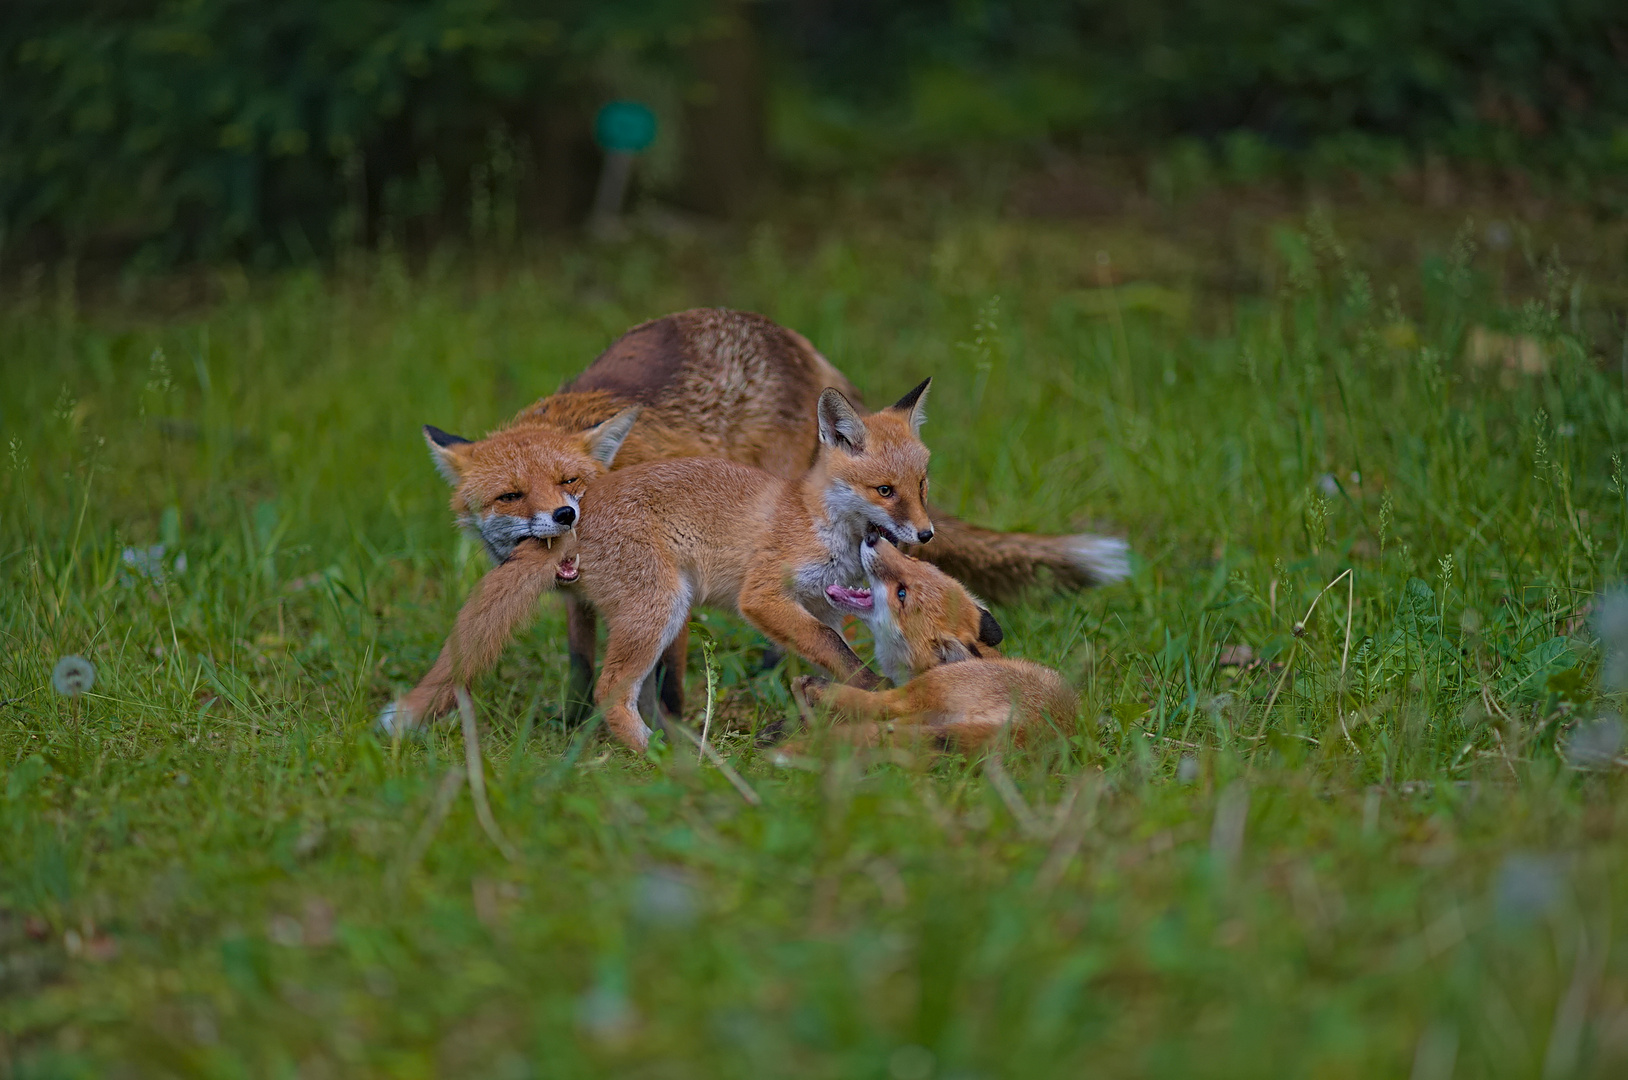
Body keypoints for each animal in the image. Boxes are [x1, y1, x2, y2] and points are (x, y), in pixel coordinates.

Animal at [387, 382, 957, 752]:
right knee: (610, 692)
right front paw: (880, 695)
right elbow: (839, 655)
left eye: (921, 485)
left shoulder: (824, 607)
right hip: (662, 605)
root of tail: (578, 511)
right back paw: (666, 758)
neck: (817, 520)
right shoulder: (763, 596)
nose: (926, 534)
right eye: (884, 491)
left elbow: (828, 658)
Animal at [407, 307, 1126, 723]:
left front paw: (673, 723)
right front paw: (573, 724)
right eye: (509, 498)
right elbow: (581, 661)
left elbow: (671, 666)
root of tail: (792, 340)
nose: (561, 516)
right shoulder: (577, 594)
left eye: (569, 481)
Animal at [791, 531, 1080, 752]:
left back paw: (812, 690)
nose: (872, 537)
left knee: (878, 705)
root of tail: (1034, 732)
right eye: (912, 559)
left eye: (902, 594)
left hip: (923, 691)